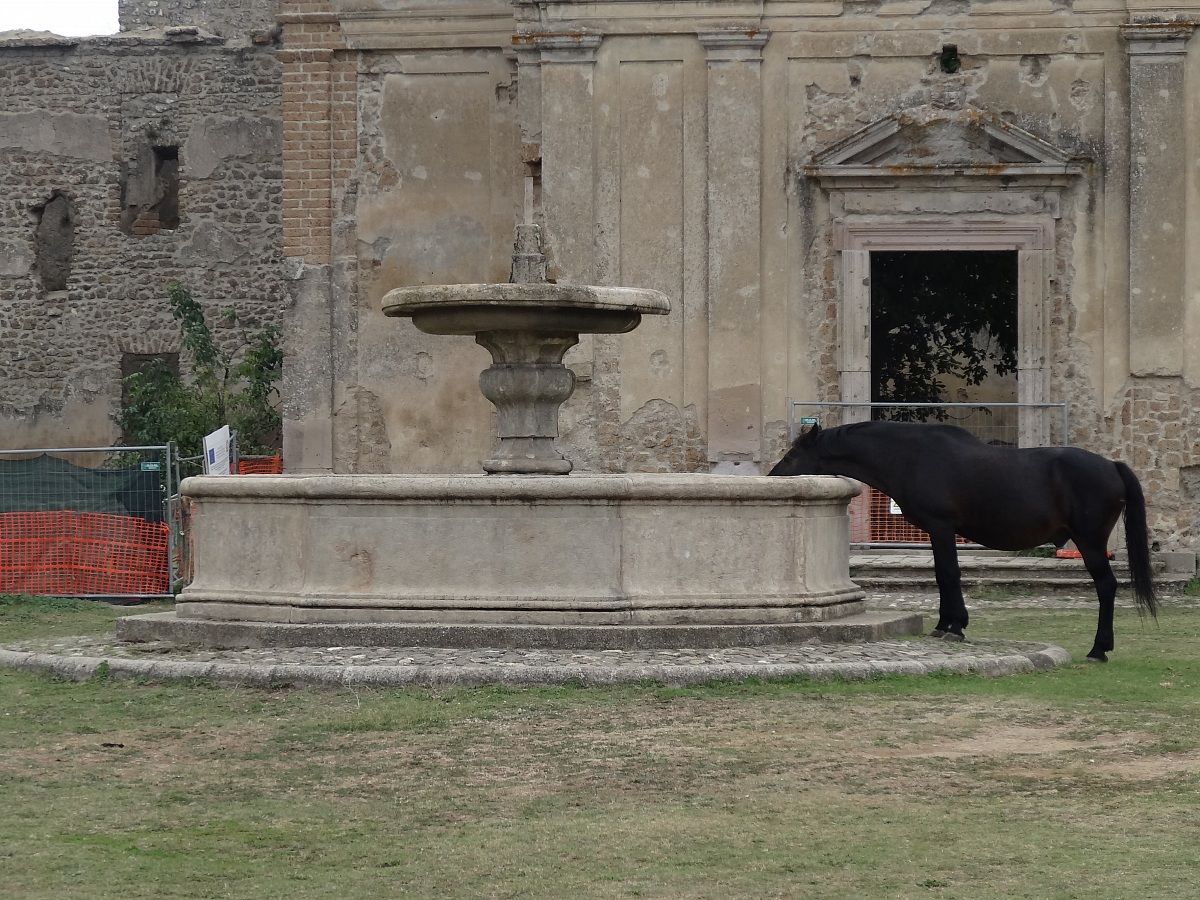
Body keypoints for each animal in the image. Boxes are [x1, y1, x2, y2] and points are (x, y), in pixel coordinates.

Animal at [769, 421, 1157, 661]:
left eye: (793, 454)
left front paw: (954, 626)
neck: (911, 456)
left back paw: (1098, 649)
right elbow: (943, 576)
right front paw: (946, 624)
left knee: (1106, 586)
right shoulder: (936, 531)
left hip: (1089, 542)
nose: (772, 476)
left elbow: (948, 574)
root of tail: (1112, 465)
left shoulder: (941, 528)